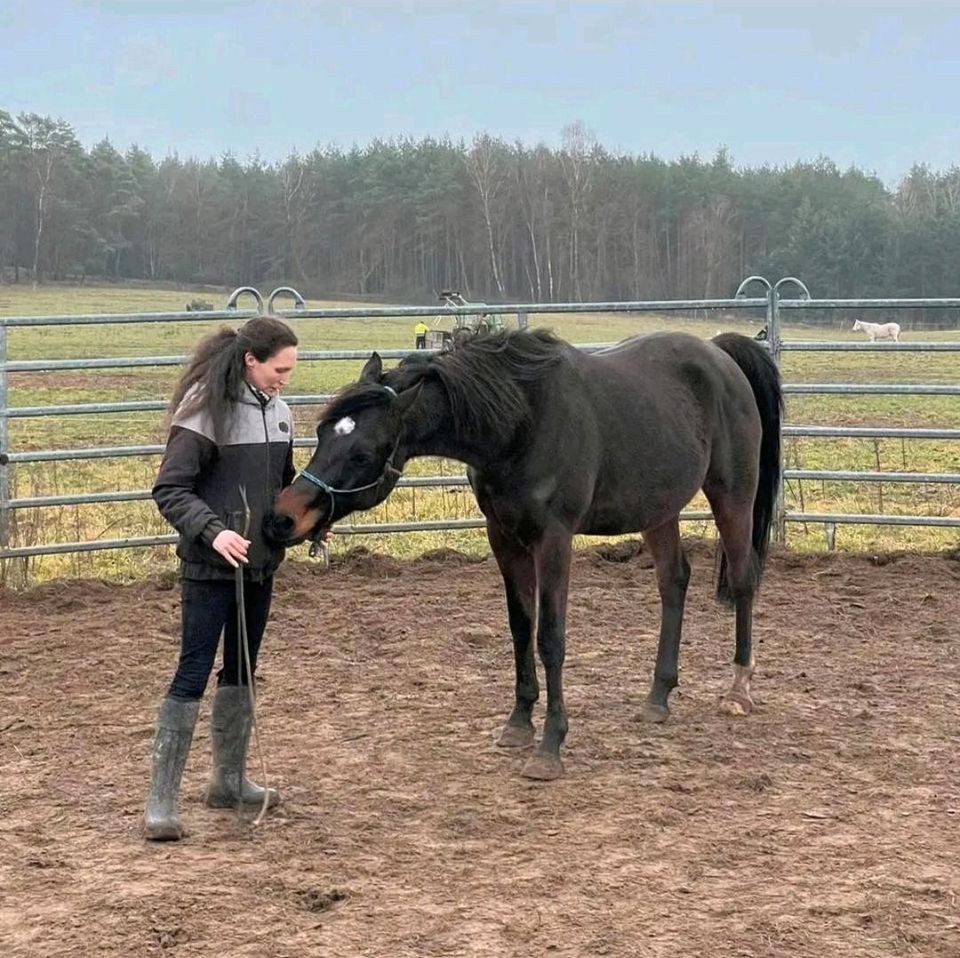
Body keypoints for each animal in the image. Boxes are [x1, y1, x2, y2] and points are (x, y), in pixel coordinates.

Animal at [262, 330, 780, 780]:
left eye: (364, 453)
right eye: (324, 432)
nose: (283, 517)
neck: (521, 423)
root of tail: (718, 353)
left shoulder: (553, 540)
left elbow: (550, 637)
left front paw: (550, 745)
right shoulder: (504, 538)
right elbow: (519, 627)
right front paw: (518, 723)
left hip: (733, 496)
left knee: (743, 578)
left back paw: (739, 689)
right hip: (659, 509)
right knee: (674, 581)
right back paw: (658, 696)